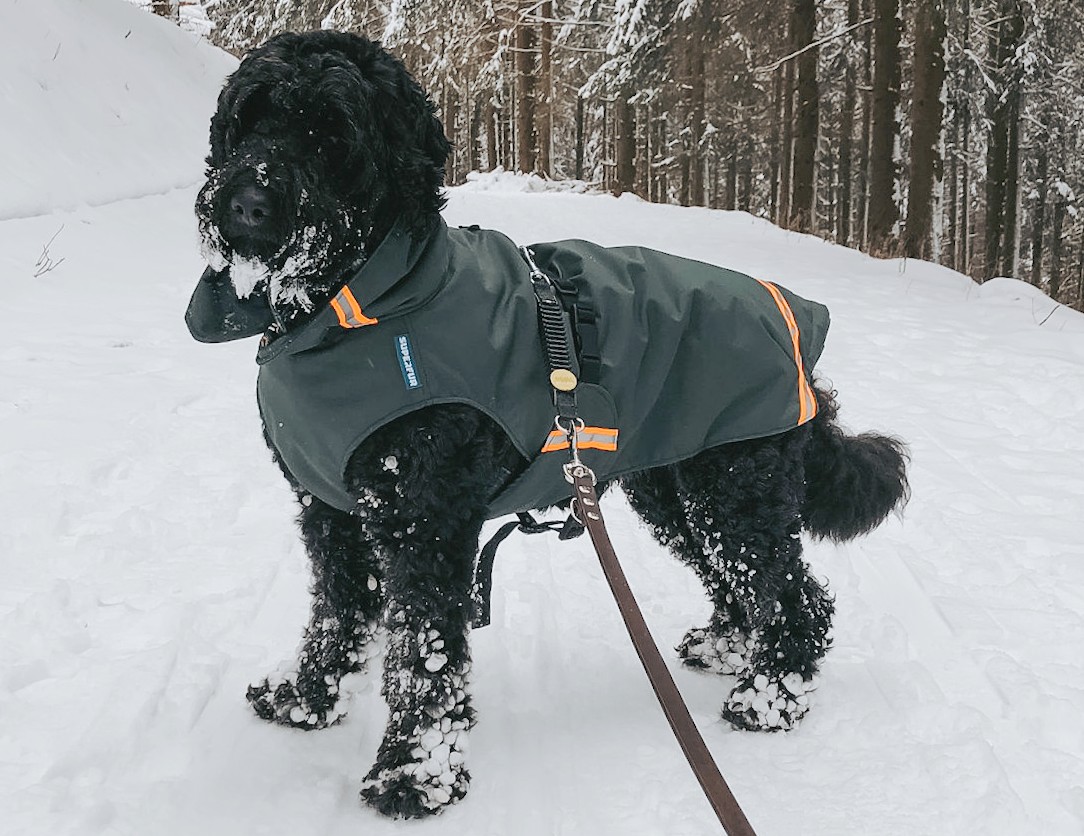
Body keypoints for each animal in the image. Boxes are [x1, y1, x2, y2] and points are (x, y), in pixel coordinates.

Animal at [188, 31, 906, 815]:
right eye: (251, 121)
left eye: (331, 135)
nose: (248, 203)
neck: (364, 301)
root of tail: (797, 335)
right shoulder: (333, 512)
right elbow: (339, 613)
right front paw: (307, 701)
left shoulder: (423, 521)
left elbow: (422, 653)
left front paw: (416, 774)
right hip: (676, 490)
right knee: (743, 582)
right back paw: (727, 650)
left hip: (734, 489)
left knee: (794, 595)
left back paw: (771, 697)